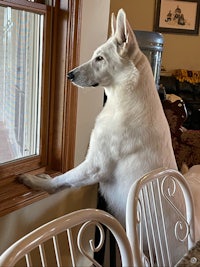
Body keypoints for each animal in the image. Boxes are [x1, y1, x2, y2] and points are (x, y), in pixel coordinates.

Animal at [19, 9, 177, 227]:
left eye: (100, 58)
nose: (69, 75)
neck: (125, 99)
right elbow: (64, 179)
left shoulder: (94, 165)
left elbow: (63, 179)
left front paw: (38, 182)